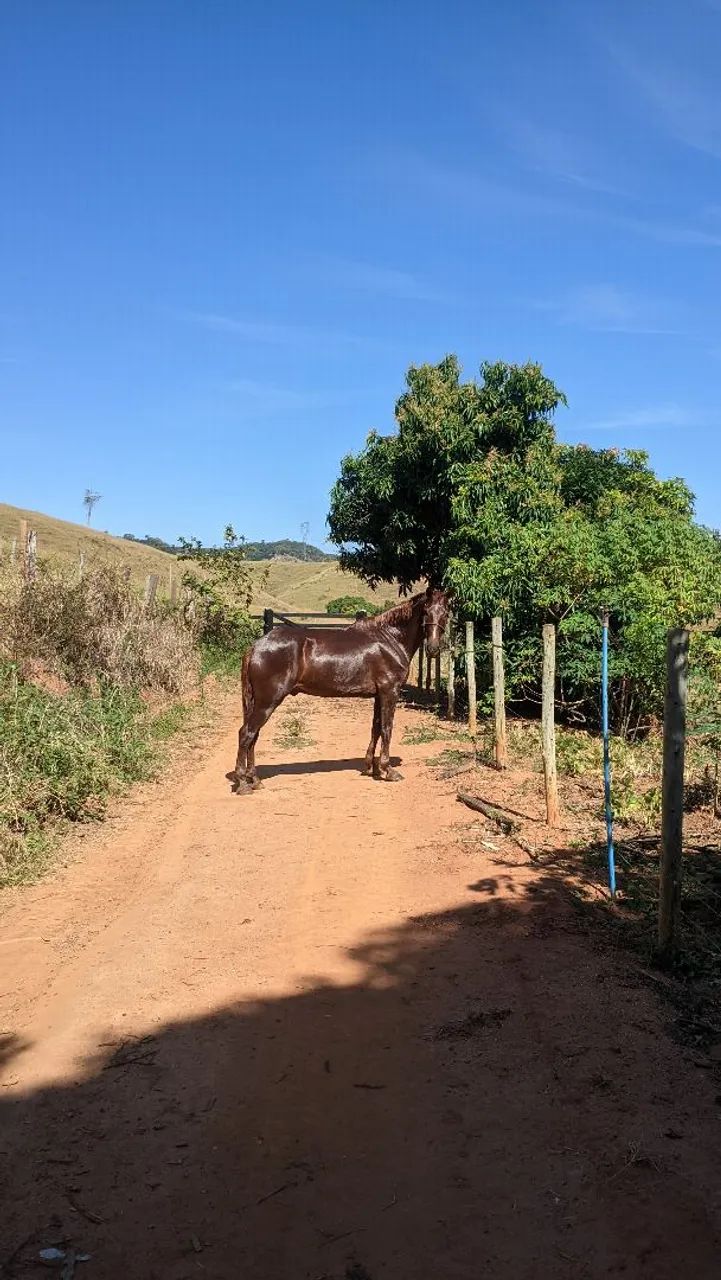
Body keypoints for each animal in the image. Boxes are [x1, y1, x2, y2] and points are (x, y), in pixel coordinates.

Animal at [232, 586, 450, 793]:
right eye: (426, 612)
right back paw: (243, 783)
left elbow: (376, 727)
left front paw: (371, 767)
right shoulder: (390, 692)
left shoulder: (379, 695)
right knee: (246, 733)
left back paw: (255, 780)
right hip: (268, 701)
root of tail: (256, 646)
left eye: (445, 613)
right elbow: (387, 728)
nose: (433, 648)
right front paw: (388, 770)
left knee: (253, 735)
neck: (390, 639)